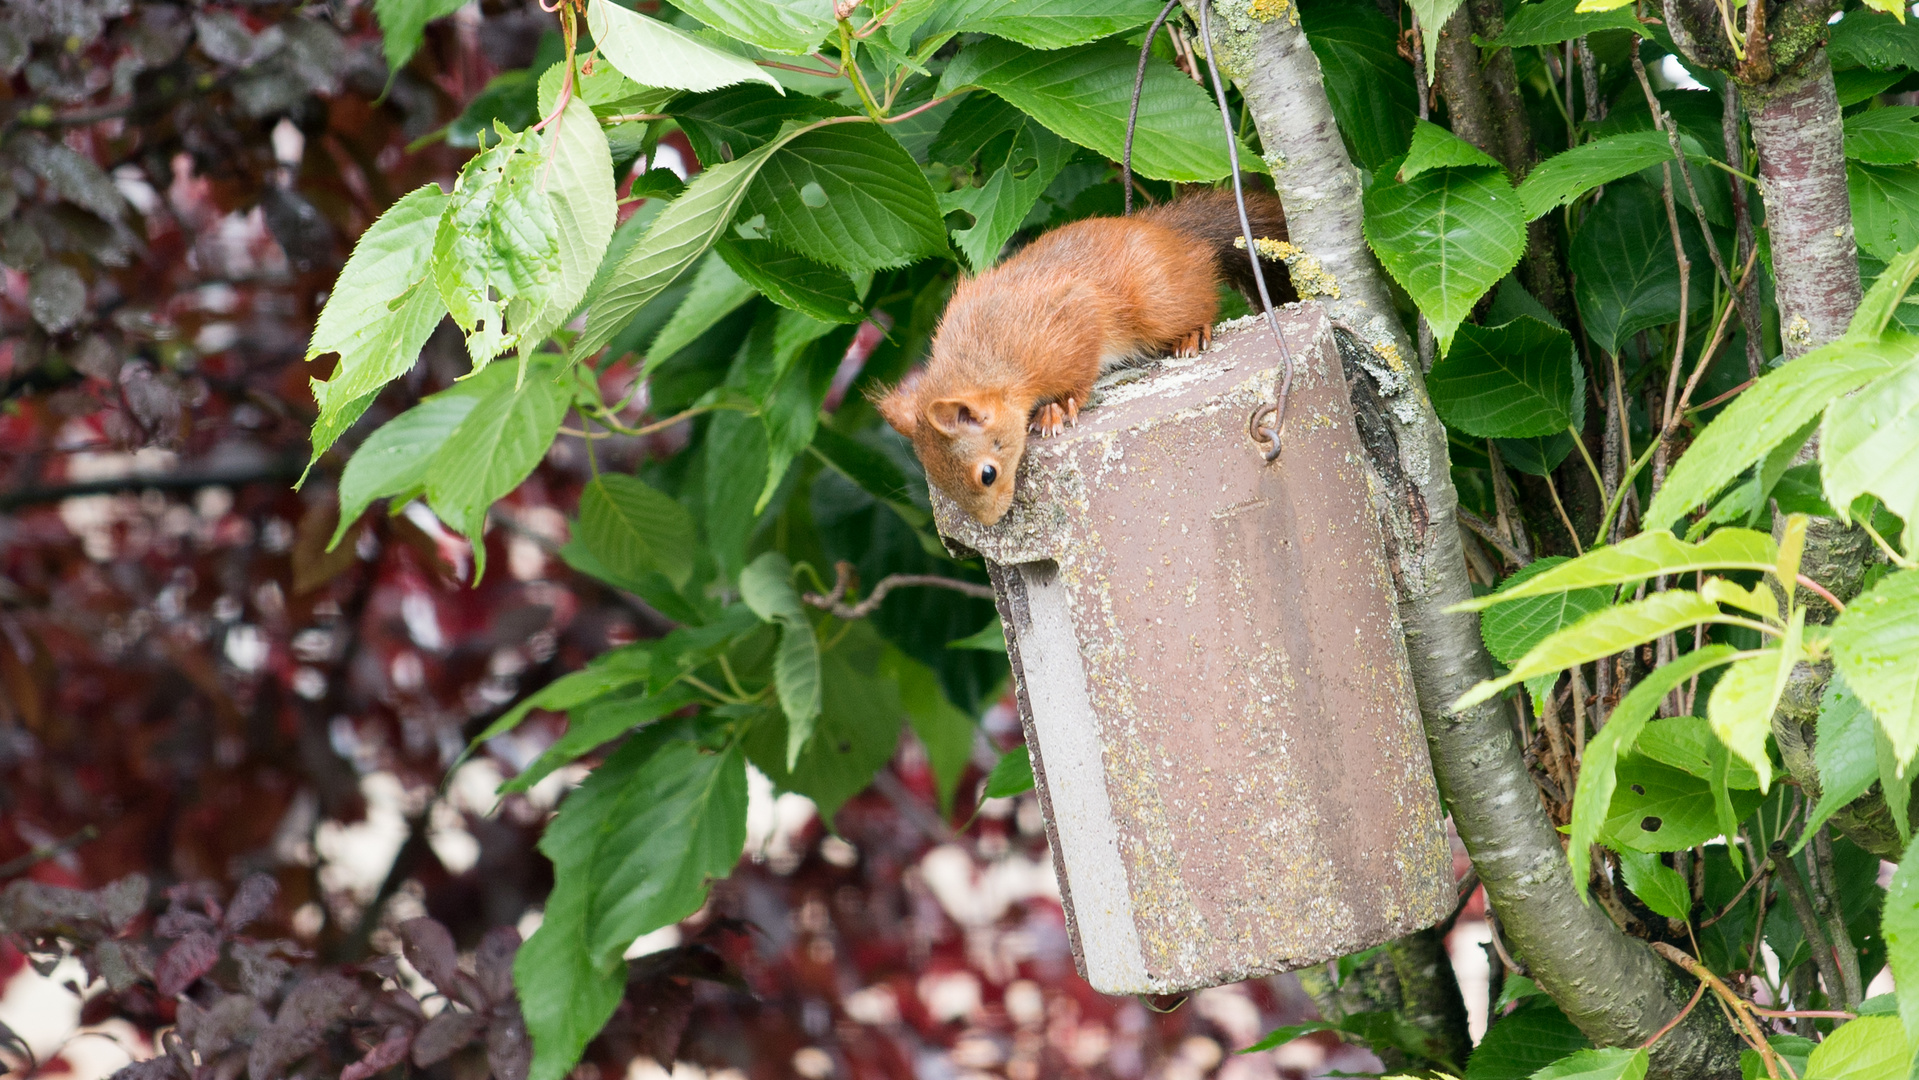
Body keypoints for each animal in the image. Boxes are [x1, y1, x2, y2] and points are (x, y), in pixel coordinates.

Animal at [878, 187, 1297, 525]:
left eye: (988, 474)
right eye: (940, 485)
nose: (992, 521)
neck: (992, 358)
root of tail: (1168, 234)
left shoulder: (1071, 319)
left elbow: (1079, 373)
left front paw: (1057, 408)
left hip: (1160, 303)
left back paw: (1192, 333)